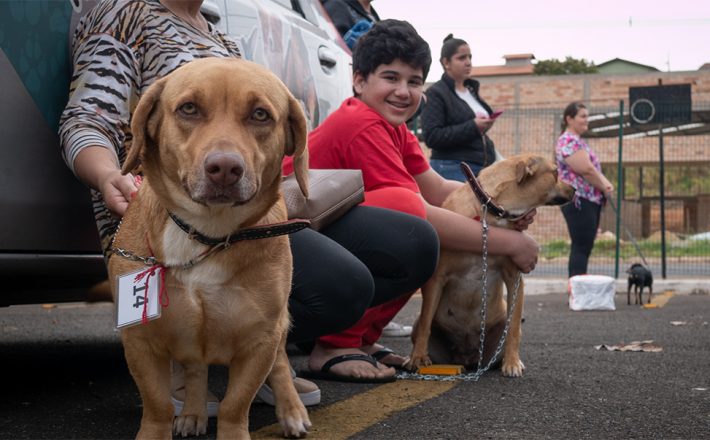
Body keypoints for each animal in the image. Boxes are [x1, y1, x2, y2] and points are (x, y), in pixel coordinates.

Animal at [108, 56, 312, 438]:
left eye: (260, 115)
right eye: (189, 108)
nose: (225, 168)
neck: (204, 235)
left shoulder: (260, 339)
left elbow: (235, 405)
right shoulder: (140, 340)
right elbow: (158, 405)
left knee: (280, 364)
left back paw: (291, 411)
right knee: (196, 369)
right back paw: (193, 411)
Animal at [408, 153, 576, 376]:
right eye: (556, 172)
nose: (575, 189)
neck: (492, 213)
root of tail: (467, 357)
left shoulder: (514, 279)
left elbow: (514, 329)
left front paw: (512, 362)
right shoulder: (436, 279)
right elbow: (426, 322)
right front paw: (418, 356)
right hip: (419, 325)